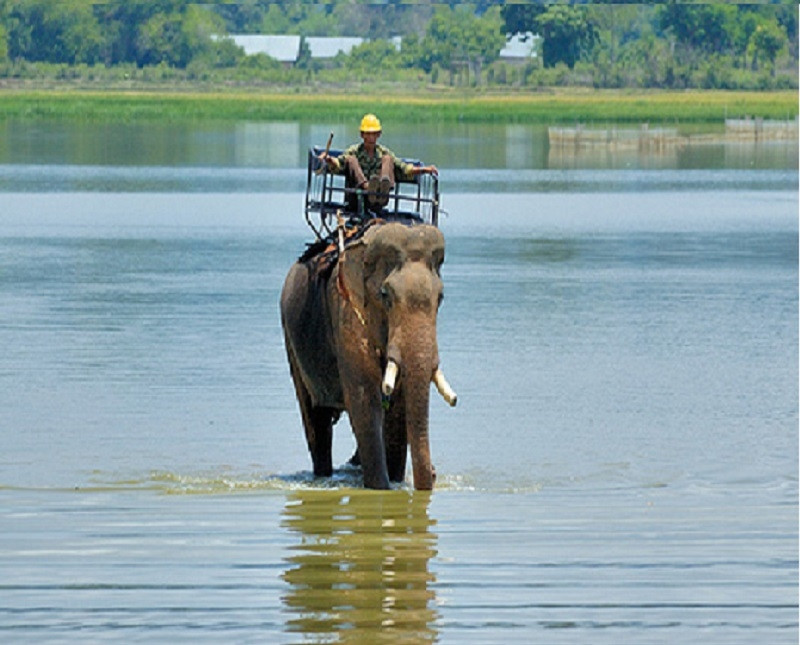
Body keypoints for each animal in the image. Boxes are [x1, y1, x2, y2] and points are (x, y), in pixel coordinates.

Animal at [282, 219, 456, 490]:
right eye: (385, 295)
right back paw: (323, 475)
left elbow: (398, 406)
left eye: (441, 298)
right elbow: (364, 398)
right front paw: (381, 489)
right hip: (291, 337)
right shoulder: (345, 310)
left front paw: (394, 483)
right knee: (315, 418)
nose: (434, 473)